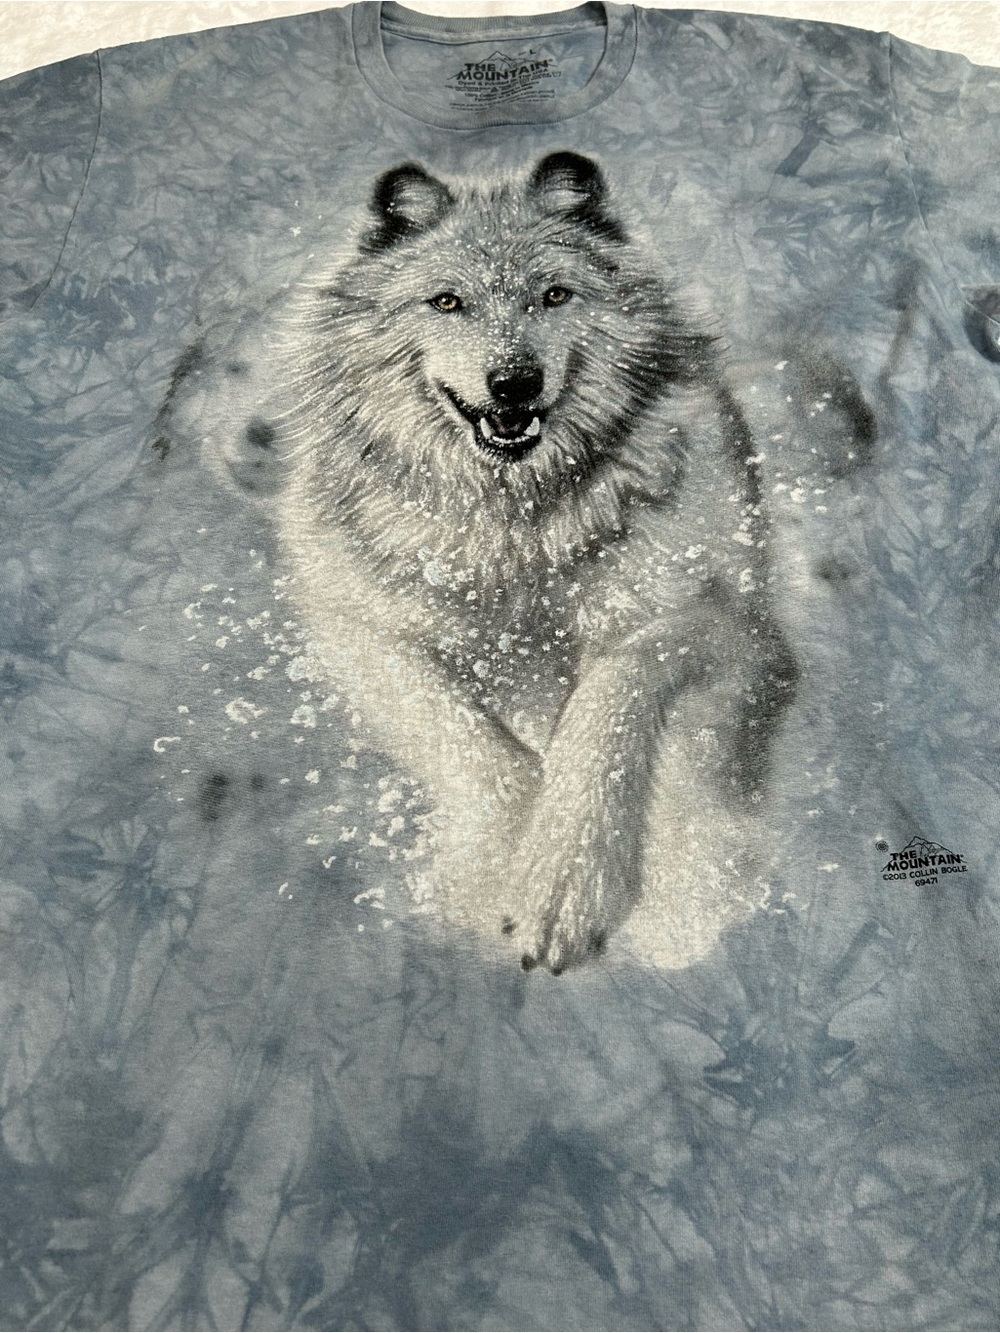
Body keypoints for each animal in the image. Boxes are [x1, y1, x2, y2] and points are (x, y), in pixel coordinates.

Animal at [157, 152, 875, 972]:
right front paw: (500, 870)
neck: (513, 537)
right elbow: (470, 741)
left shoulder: (729, 628)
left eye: (553, 295)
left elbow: (608, 702)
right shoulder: (355, 632)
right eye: (447, 302)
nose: (514, 381)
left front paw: (570, 884)